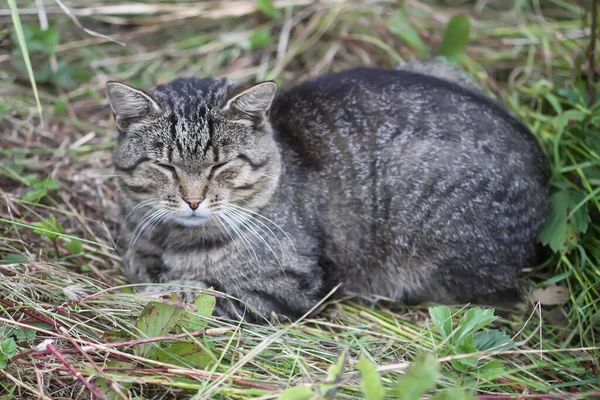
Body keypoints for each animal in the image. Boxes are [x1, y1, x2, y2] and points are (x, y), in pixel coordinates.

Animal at [104, 64, 548, 324]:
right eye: (166, 167)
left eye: (219, 166)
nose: (193, 200)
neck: (176, 239)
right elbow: (139, 263)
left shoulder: (288, 289)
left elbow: (201, 293)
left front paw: (162, 288)